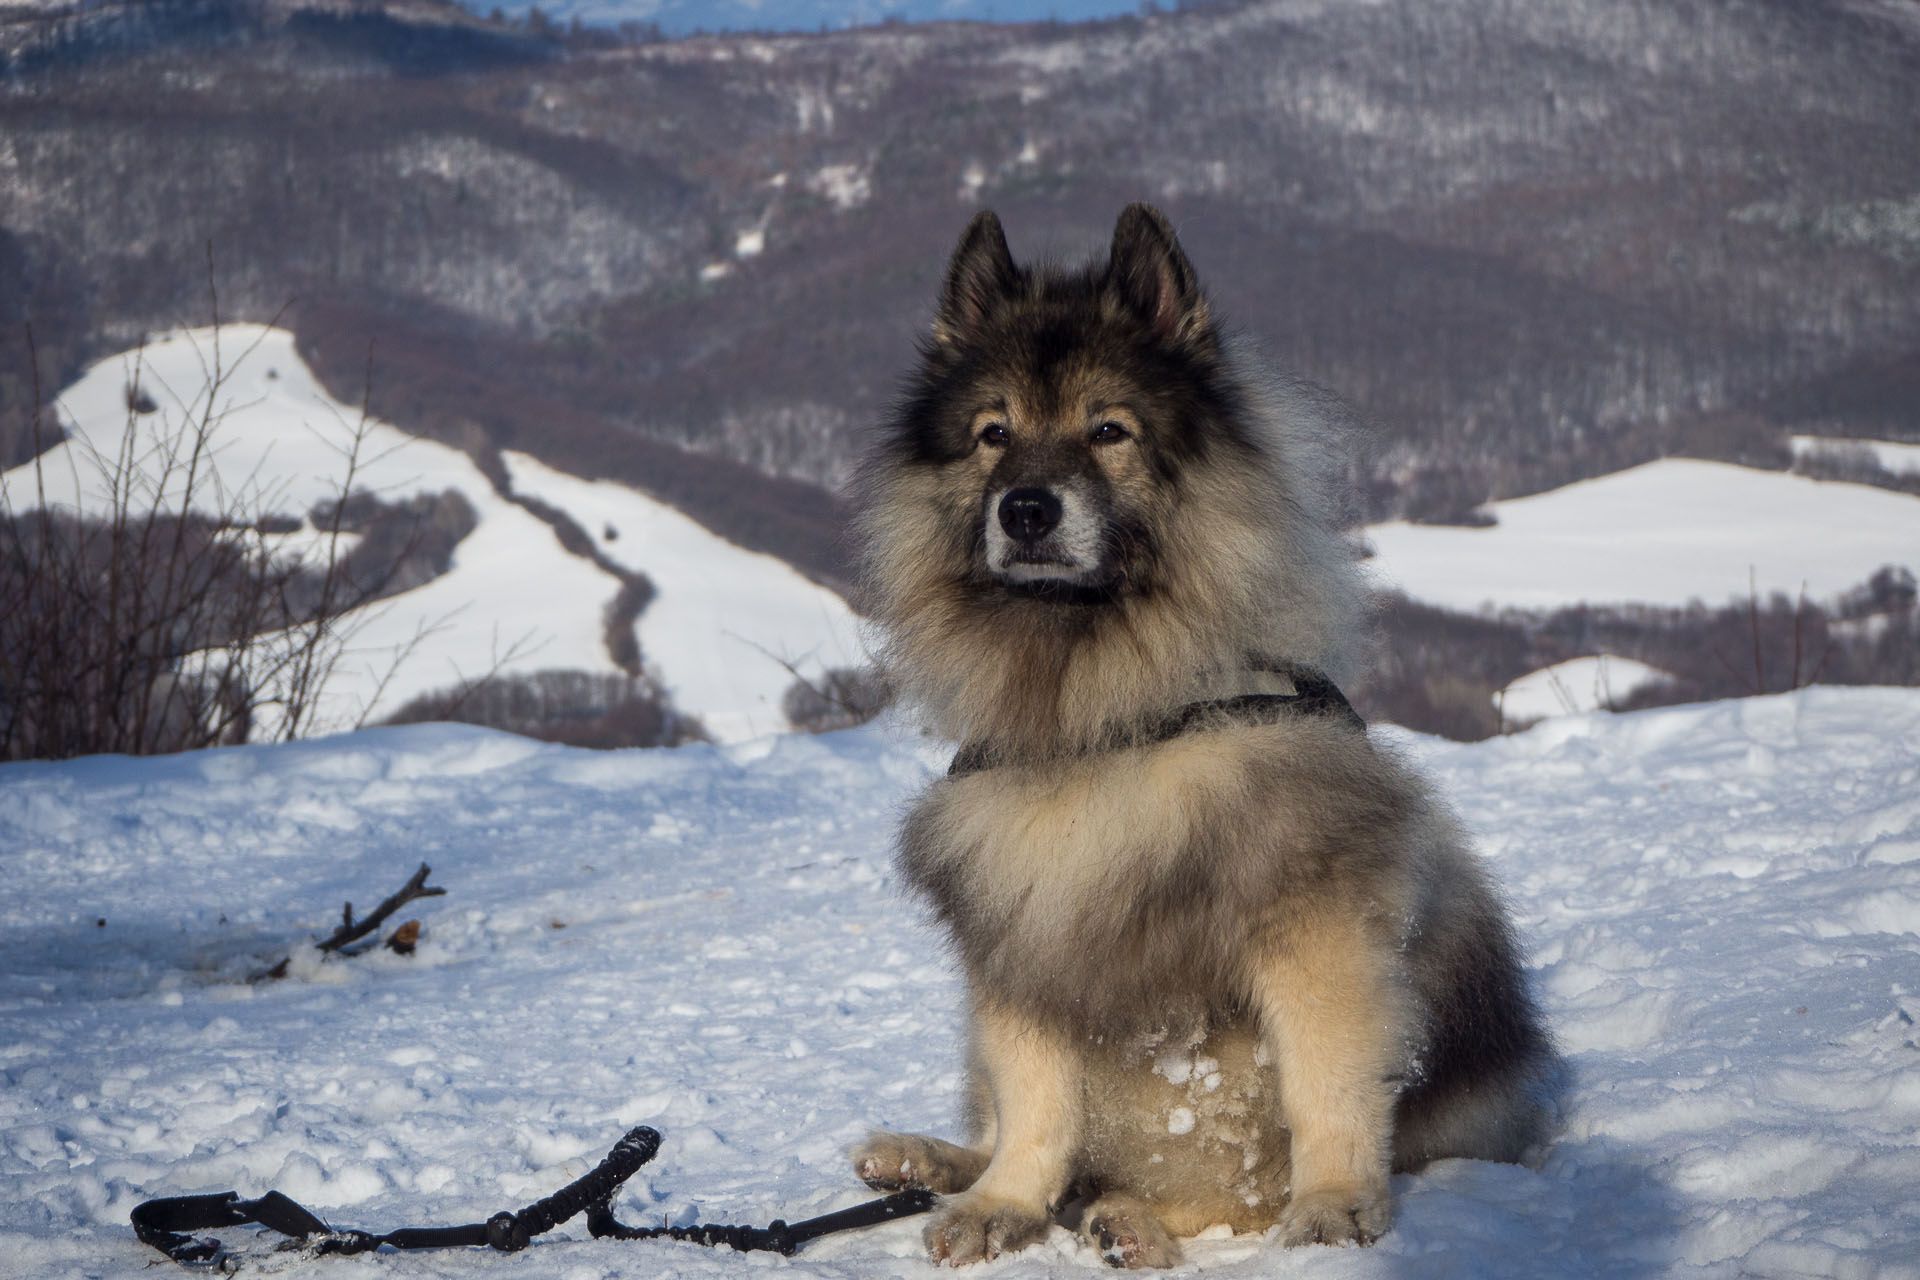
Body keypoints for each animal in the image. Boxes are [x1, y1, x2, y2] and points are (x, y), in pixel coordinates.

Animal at [848, 205, 1551, 1266]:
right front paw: (1003, 1204)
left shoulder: (1313, 921)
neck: (1105, 725)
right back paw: (931, 1164)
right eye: (992, 435)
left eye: (1109, 430)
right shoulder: (1020, 930)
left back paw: (1127, 1225)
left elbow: (1327, 1081)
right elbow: (1035, 1105)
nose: (1026, 509)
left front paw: (1336, 1205)